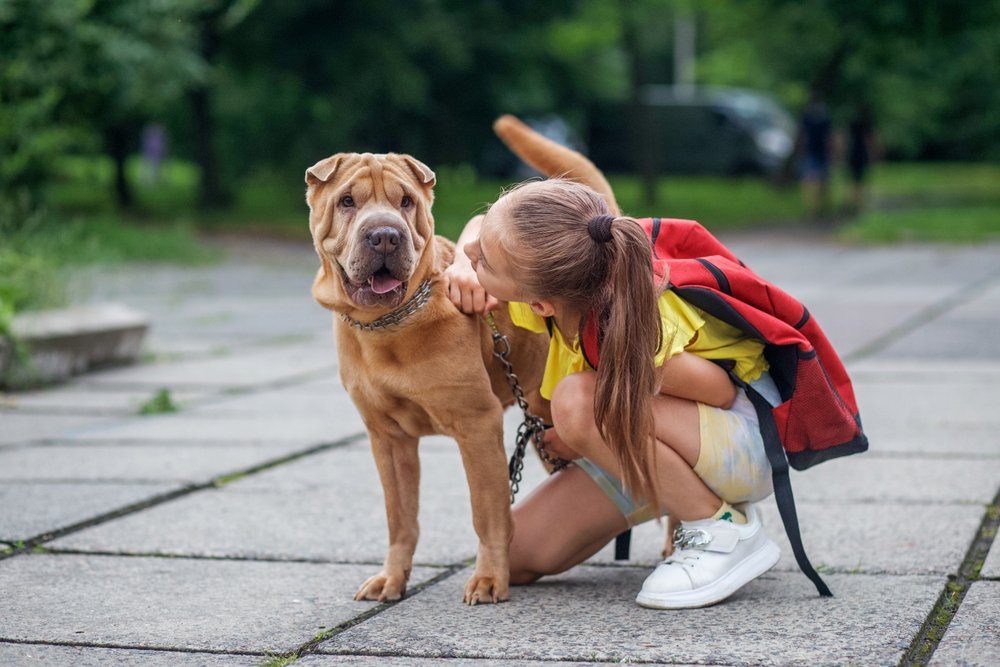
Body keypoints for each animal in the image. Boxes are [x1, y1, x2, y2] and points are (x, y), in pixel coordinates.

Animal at [308, 151, 552, 604]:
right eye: (347, 201)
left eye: (406, 201)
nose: (385, 236)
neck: (385, 325)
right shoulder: (388, 438)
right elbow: (401, 517)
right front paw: (392, 578)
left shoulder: (477, 425)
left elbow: (488, 513)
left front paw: (489, 578)